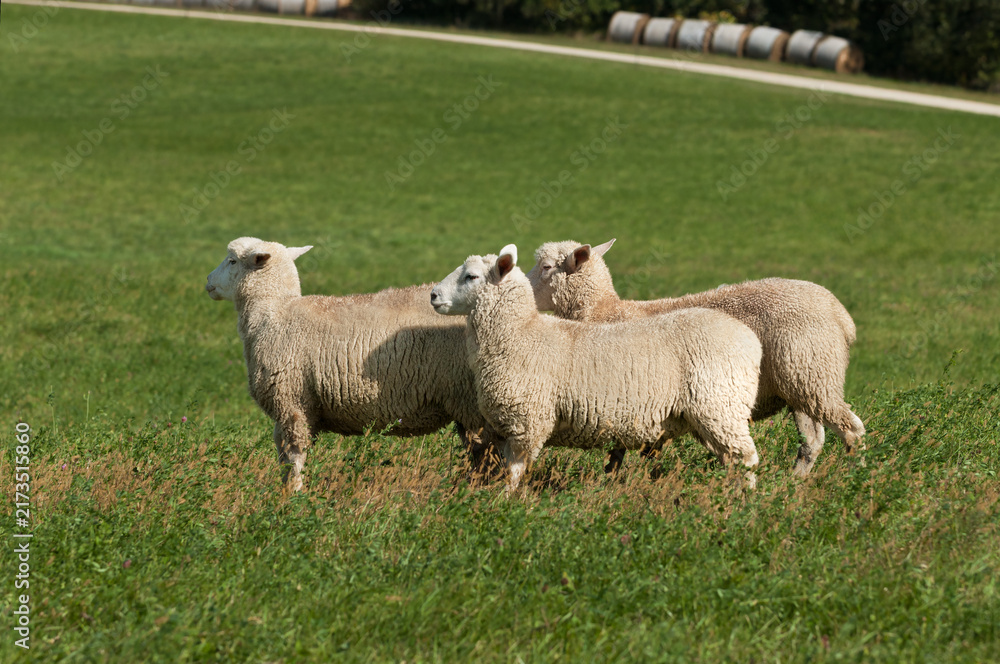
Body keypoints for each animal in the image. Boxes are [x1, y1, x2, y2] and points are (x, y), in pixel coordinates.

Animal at [205, 237, 495, 491]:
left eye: (232, 261)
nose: (208, 281)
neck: (275, 314)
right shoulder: (291, 408)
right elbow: (283, 459)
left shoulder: (292, 402)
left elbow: (293, 458)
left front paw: (292, 497)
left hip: (472, 401)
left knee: (488, 454)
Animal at [430, 244, 763, 494]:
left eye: (471, 276)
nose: (433, 294)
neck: (521, 335)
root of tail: (750, 340)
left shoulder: (528, 421)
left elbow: (514, 472)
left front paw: (503, 502)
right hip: (713, 414)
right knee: (732, 460)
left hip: (719, 406)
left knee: (745, 459)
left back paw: (744, 503)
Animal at [526, 239, 866, 476]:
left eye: (546, 267)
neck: (604, 311)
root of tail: (841, 315)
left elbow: (619, 451)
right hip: (800, 384)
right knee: (812, 442)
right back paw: (794, 483)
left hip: (814, 374)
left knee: (852, 430)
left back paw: (858, 477)